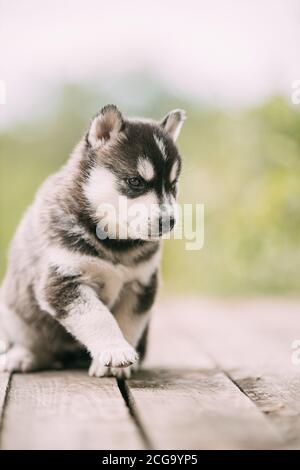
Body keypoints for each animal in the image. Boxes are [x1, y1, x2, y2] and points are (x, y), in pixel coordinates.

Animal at [0, 106, 185, 378]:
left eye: (172, 185)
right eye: (135, 181)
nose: (169, 221)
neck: (116, 243)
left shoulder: (140, 285)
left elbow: (126, 323)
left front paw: (118, 360)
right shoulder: (63, 280)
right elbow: (99, 317)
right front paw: (116, 351)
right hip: (15, 312)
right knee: (35, 343)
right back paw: (23, 356)